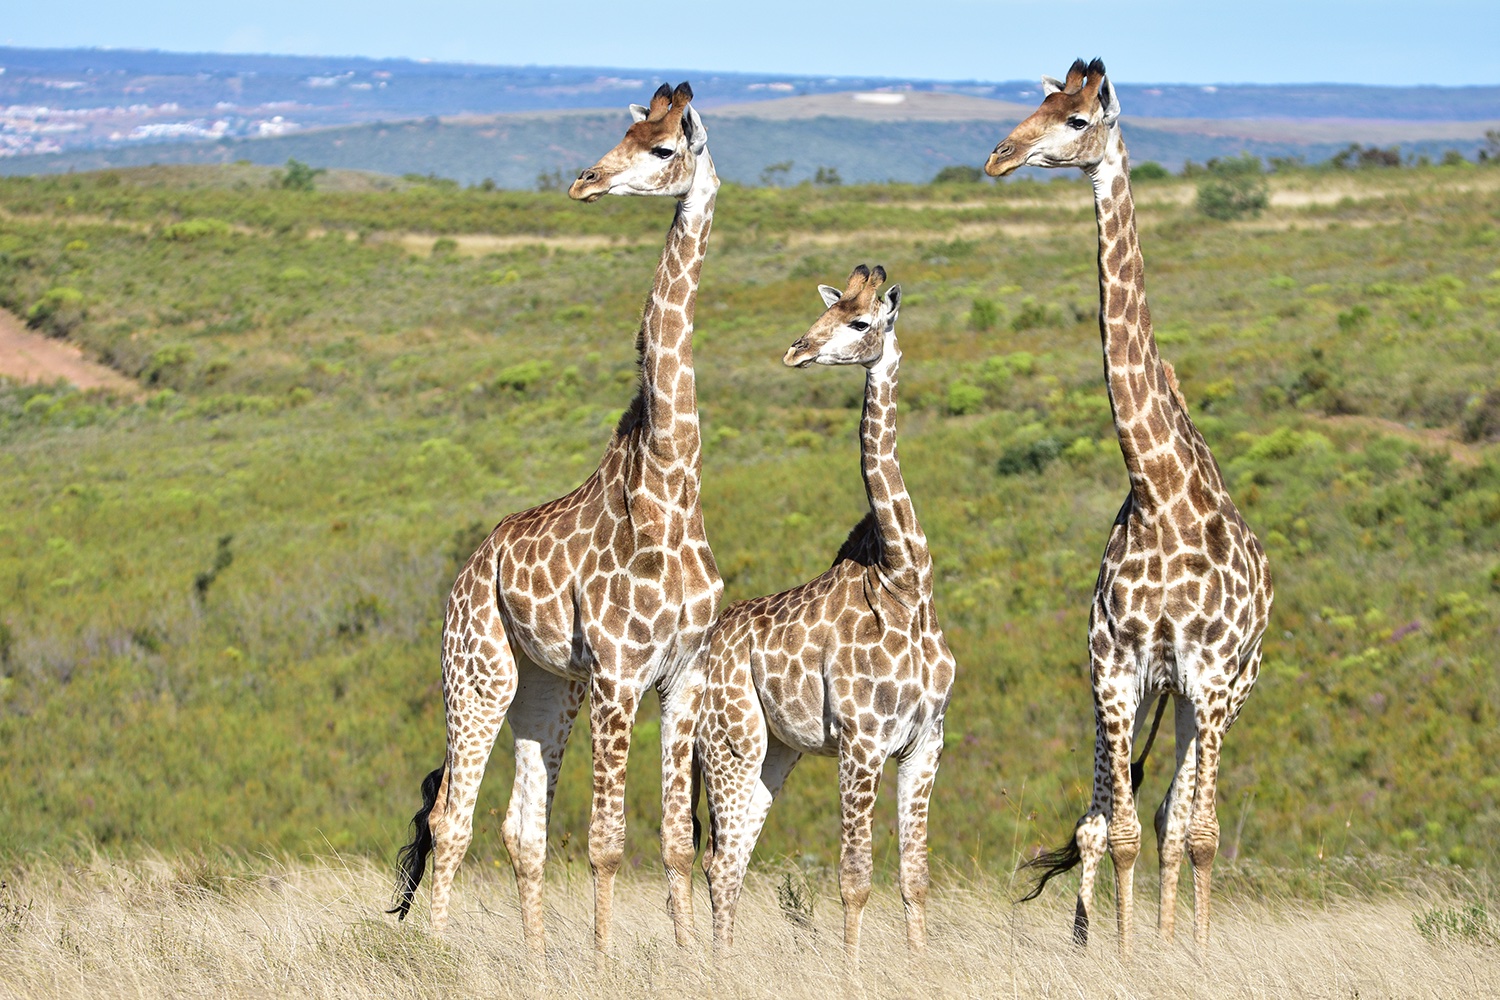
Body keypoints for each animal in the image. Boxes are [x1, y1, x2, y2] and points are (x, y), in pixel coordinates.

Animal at [389, 82, 723, 957]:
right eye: (623, 135)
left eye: (662, 148)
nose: (584, 181)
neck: (671, 485)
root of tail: (468, 571)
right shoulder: (618, 673)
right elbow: (607, 842)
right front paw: (605, 963)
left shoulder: (681, 675)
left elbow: (676, 841)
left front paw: (691, 962)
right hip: (478, 673)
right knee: (451, 819)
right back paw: (433, 954)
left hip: (546, 688)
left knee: (519, 830)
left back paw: (536, 964)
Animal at [695, 265, 957, 969]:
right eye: (828, 312)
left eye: (860, 321)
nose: (796, 350)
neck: (904, 582)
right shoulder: (862, 742)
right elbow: (855, 880)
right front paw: (852, 976)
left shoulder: (925, 742)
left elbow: (915, 879)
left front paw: (919, 971)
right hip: (732, 741)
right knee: (720, 863)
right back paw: (717, 971)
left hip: (777, 752)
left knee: (732, 861)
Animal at [984, 59, 1272, 958]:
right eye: (1039, 102)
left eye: (1078, 119)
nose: (1000, 156)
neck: (1156, 488)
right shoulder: (1115, 668)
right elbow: (1116, 832)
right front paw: (1118, 953)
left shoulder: (1209, 672)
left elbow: (1201, 832)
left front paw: (1192, 955)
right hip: (1159, 694)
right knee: (1137, 816)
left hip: (1228, 691)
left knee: (1186, 818)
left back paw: (1187, 942)